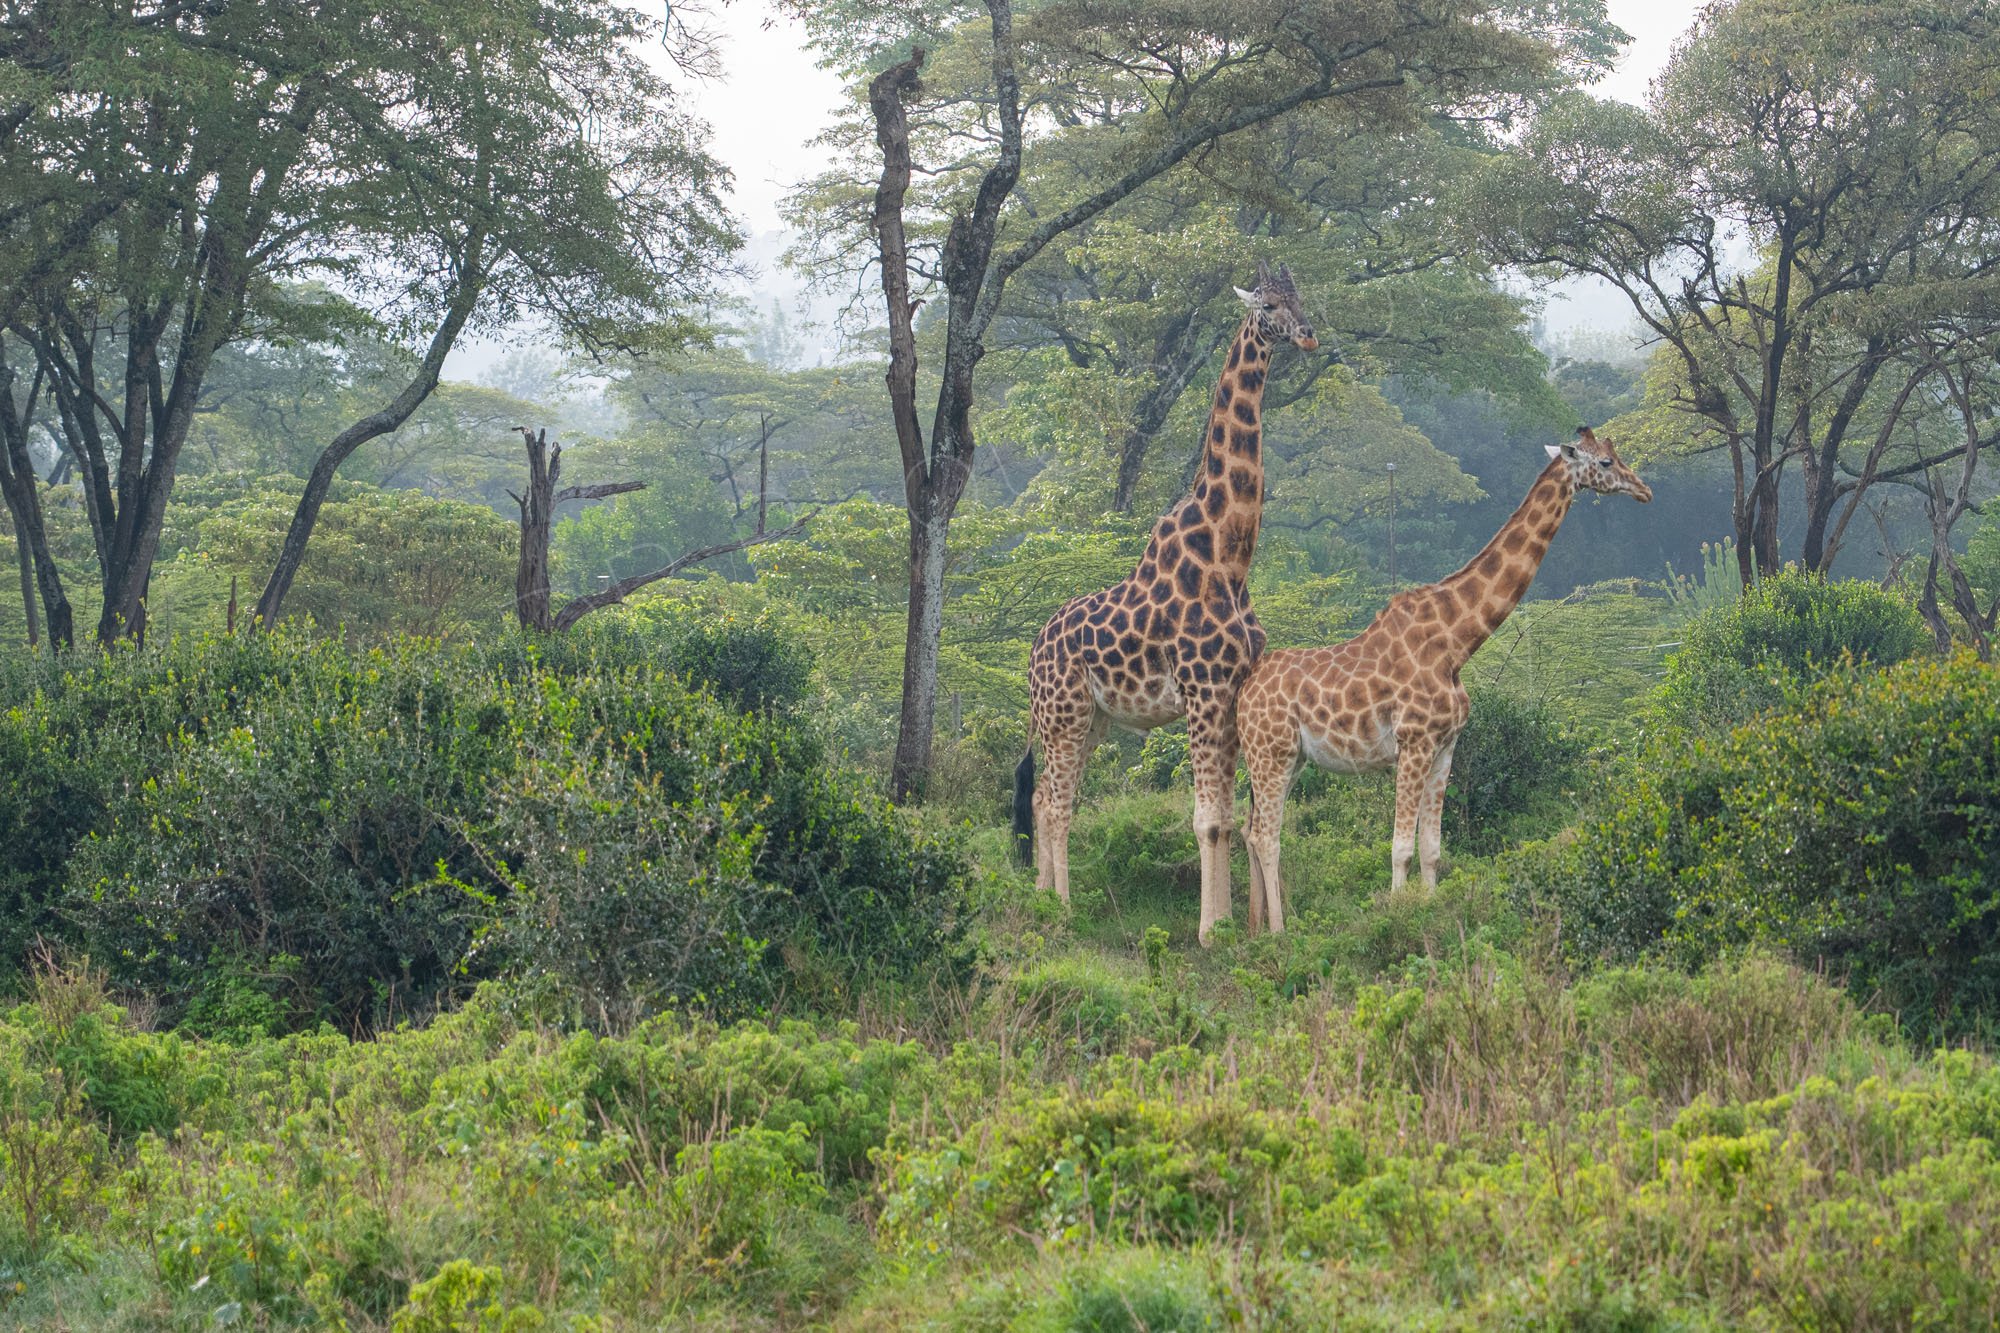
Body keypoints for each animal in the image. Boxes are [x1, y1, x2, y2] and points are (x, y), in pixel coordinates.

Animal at [1013, 260, 1322, 944]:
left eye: (1301, 298)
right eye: (1266, 306)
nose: (1310, 336)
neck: (1229, 556)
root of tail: (1034, 648)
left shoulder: (1229, 694)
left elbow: (1232, 817)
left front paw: (1240, 927)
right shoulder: (1204, 692)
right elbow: (1208, 820)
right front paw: (1211, 932)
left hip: (1092, 718)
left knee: (1047, 797)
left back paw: (1044, 900)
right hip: (1063, 713)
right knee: (1055, 801)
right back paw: (1061, 910)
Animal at [1235, 427, 1651, 931]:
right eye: (1606, 462)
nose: (1645, 491)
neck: (1456, 643)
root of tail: (1243, 691)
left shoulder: (1446, 747)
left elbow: (1432, 849)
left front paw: (1432, 913)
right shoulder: (1413, 743)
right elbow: (1400, 848)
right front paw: (1396, 919)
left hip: (1289, 758)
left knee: (1252, 829)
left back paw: (1255, 928)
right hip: (1270, 753)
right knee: (1266, 835)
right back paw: (1279, 932)